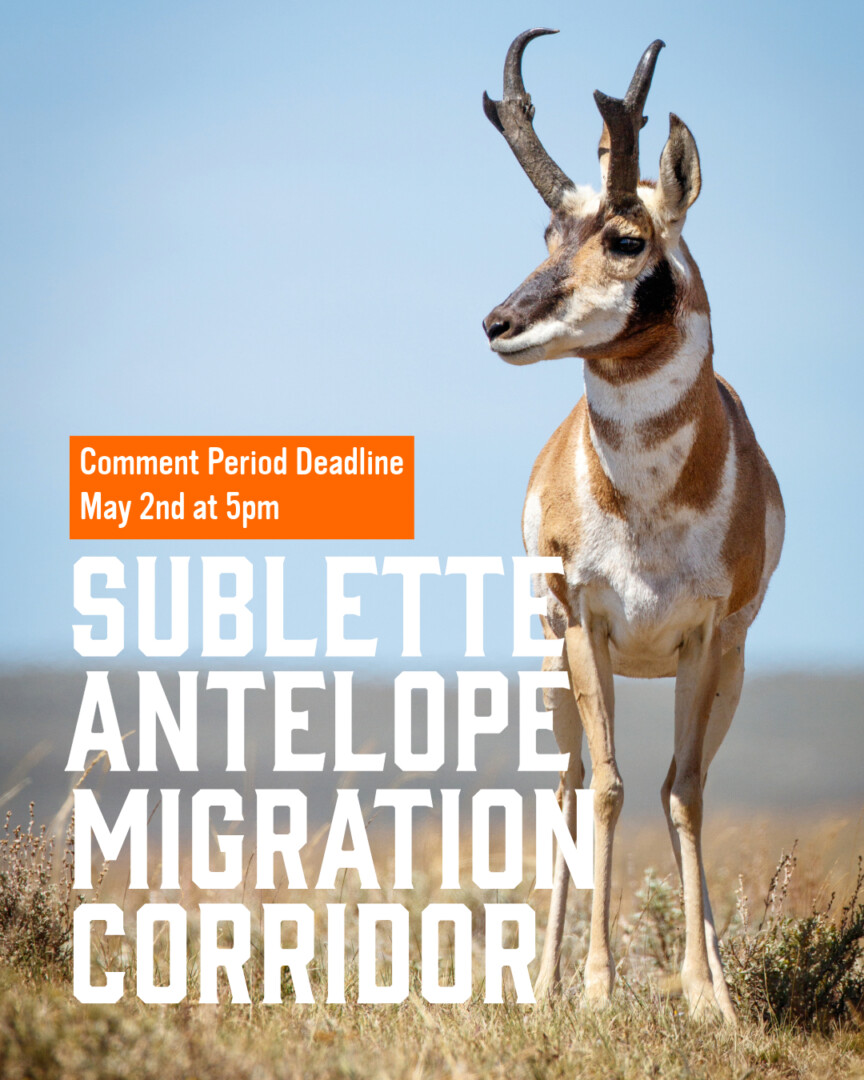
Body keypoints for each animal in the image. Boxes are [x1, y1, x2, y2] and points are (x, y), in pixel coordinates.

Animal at [482, 30, 784, 1020]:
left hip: (722, 677)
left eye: (625, 238)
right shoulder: (589, 626)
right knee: (571, 787)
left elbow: (683, 792)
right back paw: (542, 983)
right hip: (558, 671)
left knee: (681, 781)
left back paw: (716, 977)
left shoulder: (707, 640)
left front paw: (705, 996)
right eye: (549, 234)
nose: (499, 322)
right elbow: (609, 790)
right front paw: (597, 989)